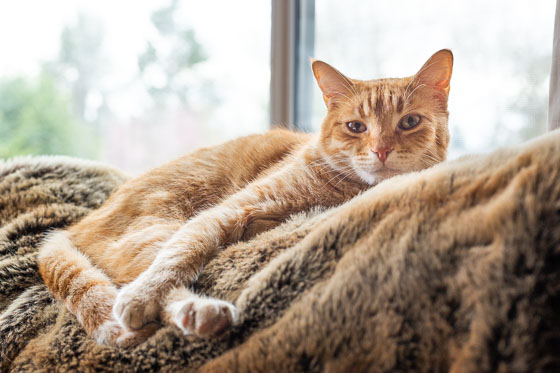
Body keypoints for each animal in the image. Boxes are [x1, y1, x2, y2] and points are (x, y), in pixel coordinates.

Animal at [37, 49, 452, 346]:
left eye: (409, 122)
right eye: (355, 127)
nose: (381, 151)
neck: (348, 188)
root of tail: (75, 226)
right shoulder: (226, 212)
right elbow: (177, 257)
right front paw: (141, 297)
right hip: (151, 229)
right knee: (151, 276)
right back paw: (194, 309)